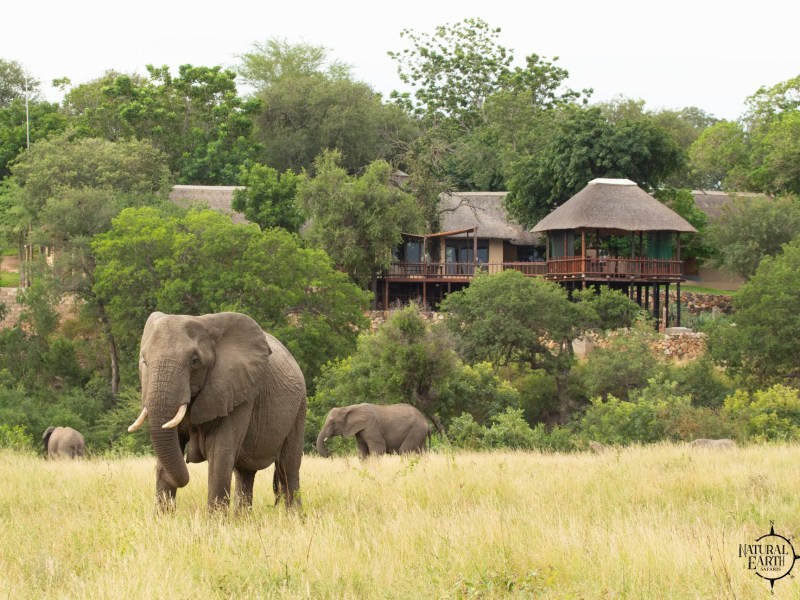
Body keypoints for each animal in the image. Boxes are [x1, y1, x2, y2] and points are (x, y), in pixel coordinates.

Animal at [127, 311, 307, 510]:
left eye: (195, 361)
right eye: (144, 361)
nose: (187, 460)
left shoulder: (237, 392)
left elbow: (220, 455)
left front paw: (216, 519)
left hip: (299, 408)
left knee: (287, 467)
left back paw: (294, 515)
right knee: (245, 473)